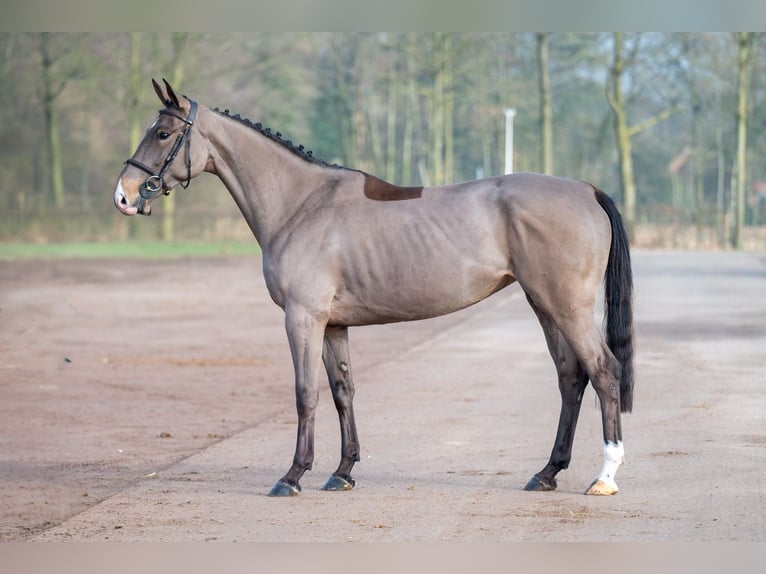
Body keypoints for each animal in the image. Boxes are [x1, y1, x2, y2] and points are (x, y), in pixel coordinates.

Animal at [114, 81, 636, 500]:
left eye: (163, 133)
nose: (124, 194)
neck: (301, 203)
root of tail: (587, 190)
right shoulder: (332, 325)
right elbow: (343, 391)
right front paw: (342, 472)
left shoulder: (302, 318)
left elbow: (305, 393)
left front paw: (293, 476)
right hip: (545, 306)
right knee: (571, 378)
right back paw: (547, 473)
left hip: (567, 307)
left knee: (604, 372)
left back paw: (604, 477)